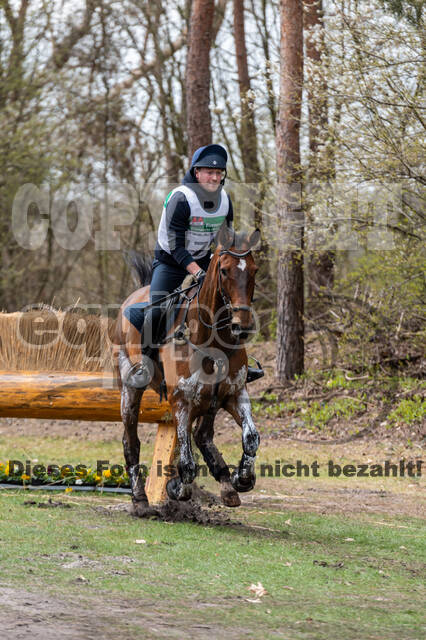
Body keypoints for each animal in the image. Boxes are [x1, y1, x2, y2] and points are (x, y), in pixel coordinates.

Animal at [112, 228, 260, 512]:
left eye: (254, 270)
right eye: (224, 271)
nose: (243, 325)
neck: (212, 340)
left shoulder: (234, 394)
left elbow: (251, 438)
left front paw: (241, 478)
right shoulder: (181, 402)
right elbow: (188, 464)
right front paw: (175, 487)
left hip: (210, 402)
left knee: (203, 435)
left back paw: (226, 484)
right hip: (130, 390)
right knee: (130, 441)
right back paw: (140, 499)